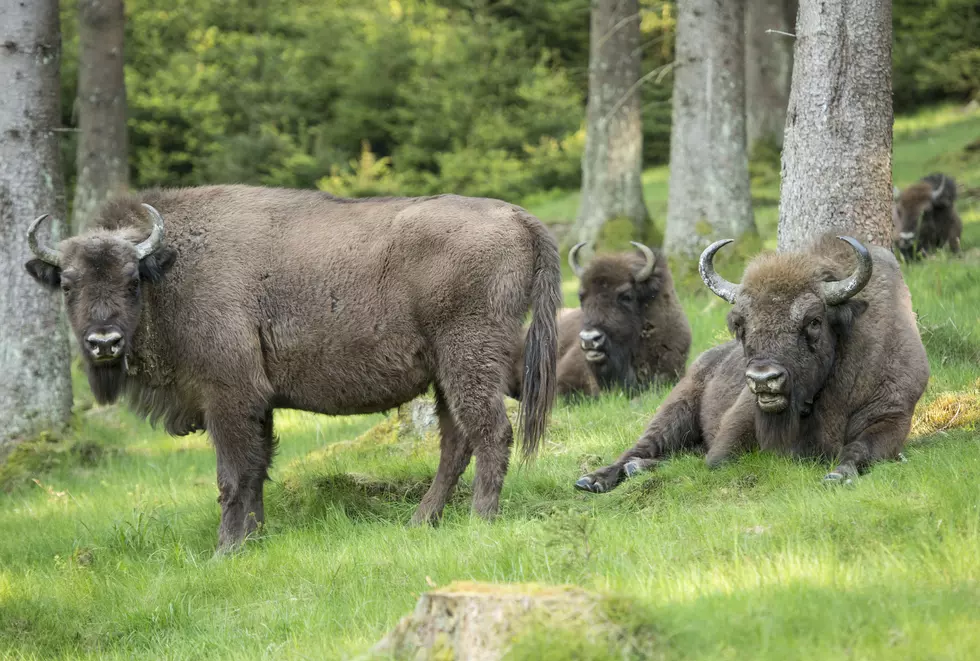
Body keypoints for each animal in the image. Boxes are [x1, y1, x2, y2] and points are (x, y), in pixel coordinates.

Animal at [24, 185, 562, 551]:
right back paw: (420, 521)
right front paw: (253, 540)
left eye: (131, 281)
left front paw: (225, 549)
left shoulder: (229, 399)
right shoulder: (258, 404)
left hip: (468, 356)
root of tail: (518, 216)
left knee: (491, 432)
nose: (104, 343)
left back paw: (480, 519)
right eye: (68, 284)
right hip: (446, 374)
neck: (172, 268)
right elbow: (257, 469)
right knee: (456, 442)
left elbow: (233, 476)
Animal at [574, 233, 929, 493]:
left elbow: (859, 449)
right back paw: (594, 479)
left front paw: (838, 475)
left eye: (814, 321)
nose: (763, 379)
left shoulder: (891, 417)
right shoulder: (742, 418)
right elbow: (719, 459)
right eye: (740, 323)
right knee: (643, 447)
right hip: (675, 408)